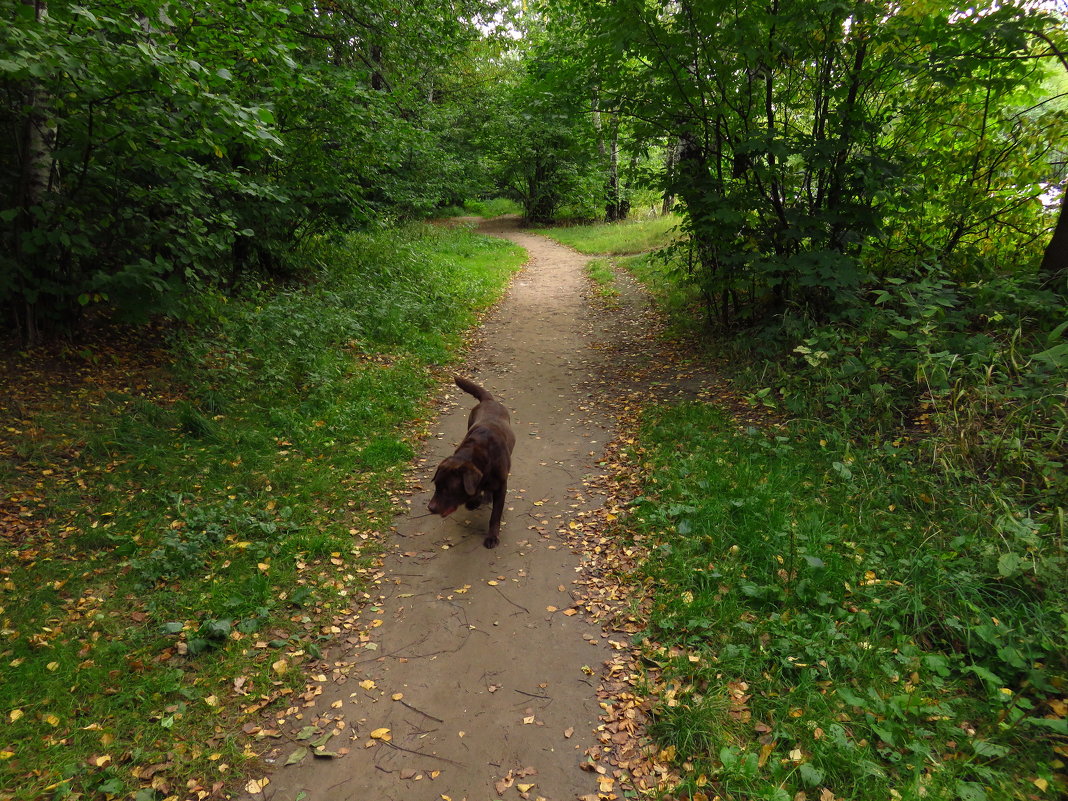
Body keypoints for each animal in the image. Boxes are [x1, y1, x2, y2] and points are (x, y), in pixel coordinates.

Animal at [429, 375, 521, 551]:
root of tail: (488, 400)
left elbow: (495, 516)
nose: (430, 508)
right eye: (436, 486)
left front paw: (492, 537)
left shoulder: (502, 486)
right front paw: (474, 500)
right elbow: (473, 492)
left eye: (448, 489)